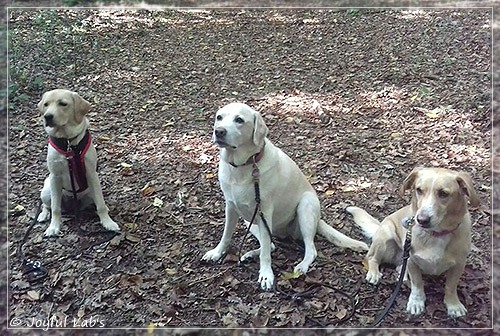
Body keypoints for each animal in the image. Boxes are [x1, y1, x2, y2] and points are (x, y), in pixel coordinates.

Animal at [36, 89, 120, 236]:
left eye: (63, 104)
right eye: (46, 104)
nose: (47, 117)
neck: (68, 143)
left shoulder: (91, 174)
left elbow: (101, 205)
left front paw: (108, 223)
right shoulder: (55, 177)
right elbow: (55, 208)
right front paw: (53, 227)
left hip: (91, 191)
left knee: (96, 202)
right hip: (47, 191)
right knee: (47, 206)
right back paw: (43, 215)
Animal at [201, 102, 370, 292]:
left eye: (239, 120)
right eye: (219, 117)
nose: (219, 131)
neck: (243, 166)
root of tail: (319, 219)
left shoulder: (264, 211)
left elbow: (266, 254)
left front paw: (266, 275)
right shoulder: (230, 207)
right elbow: (226, 235)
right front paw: (217, 253)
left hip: (305, 206)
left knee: (309, 249)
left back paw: (302, 266)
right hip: (250, 221)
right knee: (272, 245)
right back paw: (250, 255)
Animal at [346, 168, 478, 318]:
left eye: (443, 193)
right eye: (419, 190)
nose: (421, 220)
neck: (435, 234)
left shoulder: (459, 265)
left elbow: (451, 286)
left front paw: (453, 305)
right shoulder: (412, 261)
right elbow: (417, 284)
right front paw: (416, 302)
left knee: (399, 267)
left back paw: (401, 276)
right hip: (385, 238)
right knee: (371, 258)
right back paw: (374, 273)